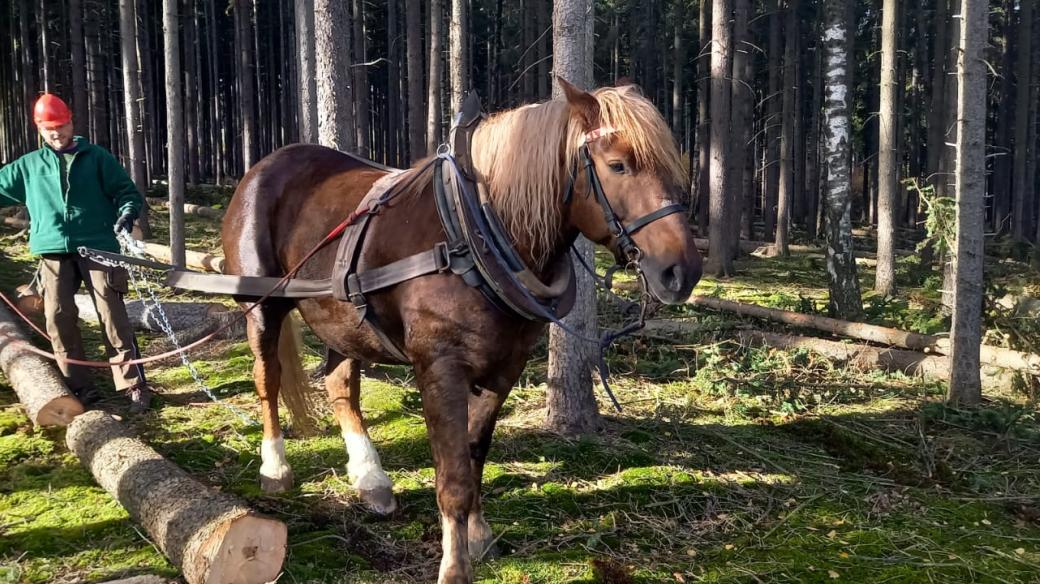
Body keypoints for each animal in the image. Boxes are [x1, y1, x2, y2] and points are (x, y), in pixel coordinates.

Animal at [222, 78, 703, 581]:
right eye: (617, 165)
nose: (681, 272)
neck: (476, 235)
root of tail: (267, 164)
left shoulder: (506, 367)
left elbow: (474, 451)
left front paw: (477, 533)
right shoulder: (440, 367)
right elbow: (452, 474)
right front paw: (454, 566)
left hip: (343, 317)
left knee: (340, 385)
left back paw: (371, 479)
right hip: (262, 306)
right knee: (268, 379)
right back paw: (275, 469)